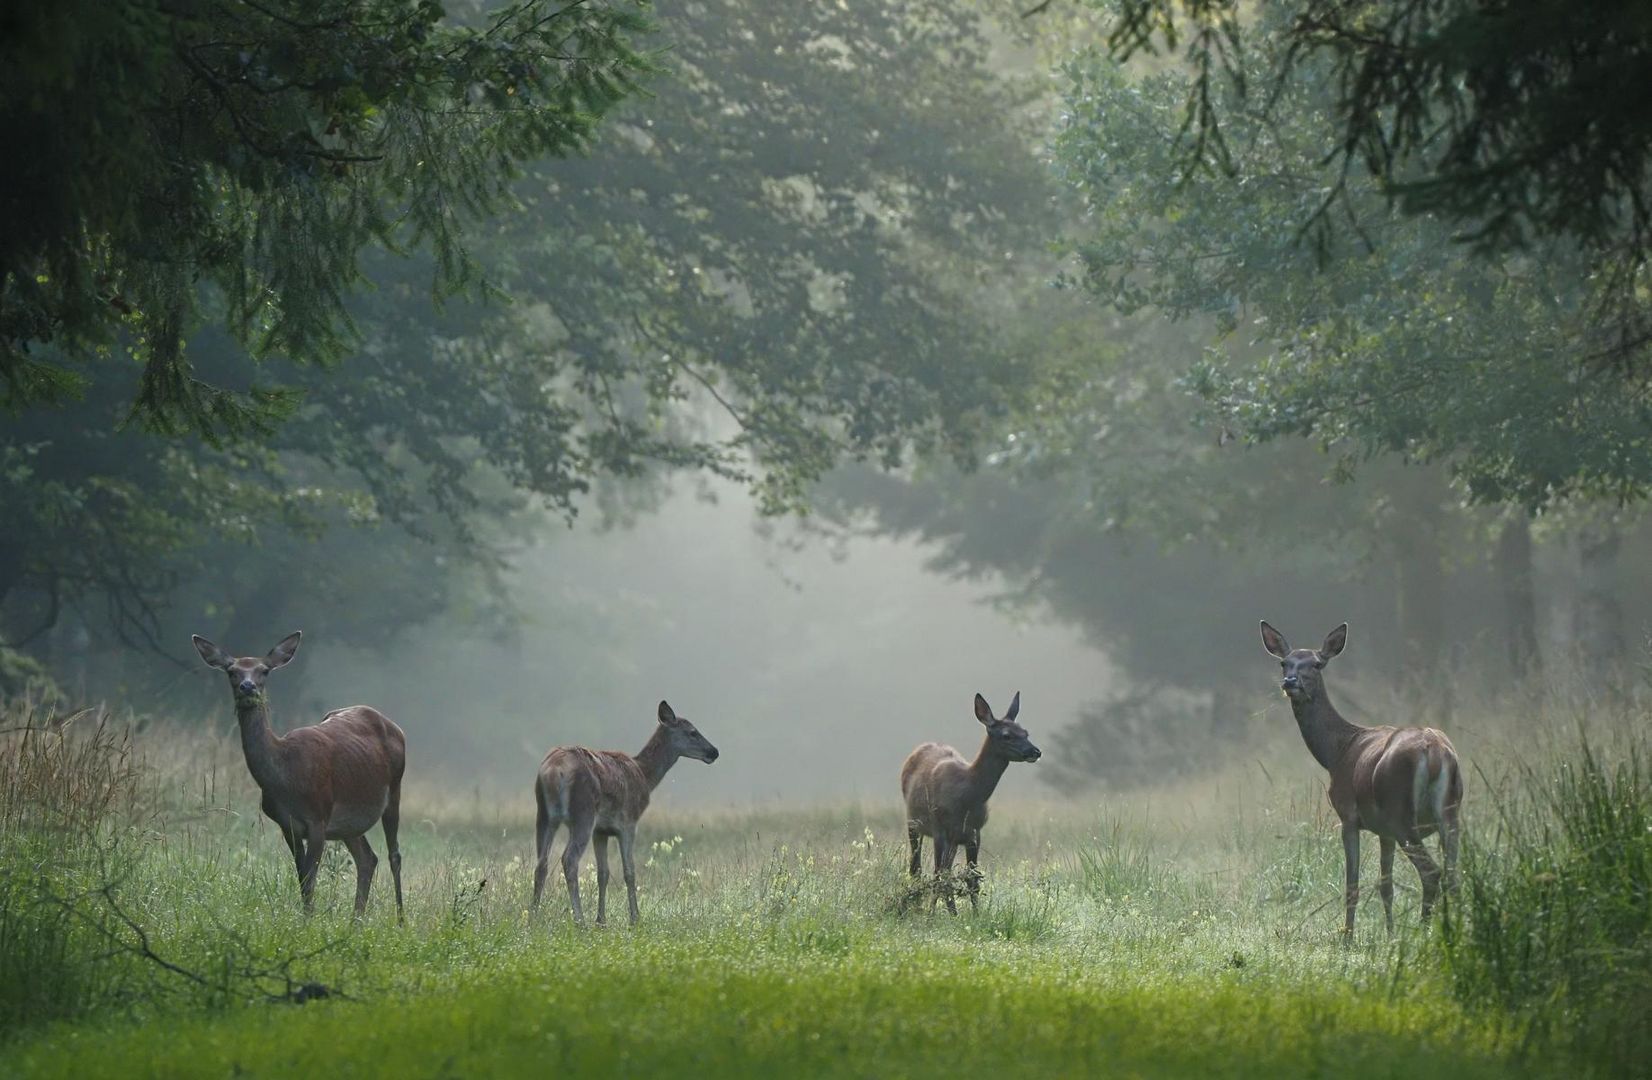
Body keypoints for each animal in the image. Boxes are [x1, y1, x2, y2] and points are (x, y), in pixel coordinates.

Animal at [187, 634, 403, 924]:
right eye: (231, 671)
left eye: (264, 671)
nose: (247, 687)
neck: (286, 776)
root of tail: (394, 727)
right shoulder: (286, 824)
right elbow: (302, 878)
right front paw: (305, 920)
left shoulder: (318, 817)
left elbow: (310, 878)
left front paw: (308, 923)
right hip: (348, 823)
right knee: (368, 858)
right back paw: (355, 922)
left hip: (394, 789)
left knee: (394, 855)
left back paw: (400, 920)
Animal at [531, 706, 720, 924]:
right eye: (692, 732)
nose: (714, 751)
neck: (645, 776)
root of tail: (554, 772)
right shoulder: (629, 822)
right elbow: (629, 871)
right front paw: (635, 917)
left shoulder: (600, 830)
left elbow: (603, 873)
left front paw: (601, 920)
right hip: (583, 813)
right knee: (569, 860)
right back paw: (580, 921)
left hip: (544, 815)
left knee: (541, 863)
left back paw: (532, 917)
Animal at [898, 693, 1037, 911]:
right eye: (1006, 735)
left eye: (1025, 732)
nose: (1035, 752)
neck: (966, 796)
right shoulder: (939, 829)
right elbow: (939, 876)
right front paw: (932, 915)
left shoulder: (974, 832)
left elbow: (972, 879)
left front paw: (975, 914)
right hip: (913, 822)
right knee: (917, 868)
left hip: (954, 839)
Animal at [1255, 627, 1466, 937]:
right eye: (1285, 662)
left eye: (1317, 664)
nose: (1290, 681)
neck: (1336, 752)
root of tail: (1435, 752)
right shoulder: (1383, 831)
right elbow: (1385, 886)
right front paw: (1390, 935)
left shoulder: (1349, 815)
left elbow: (1351, 886)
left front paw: (1347, 938)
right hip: (1449, 811)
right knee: (1453, 875)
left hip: (1402, 813)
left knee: (1431, 872)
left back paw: (1424, 931)